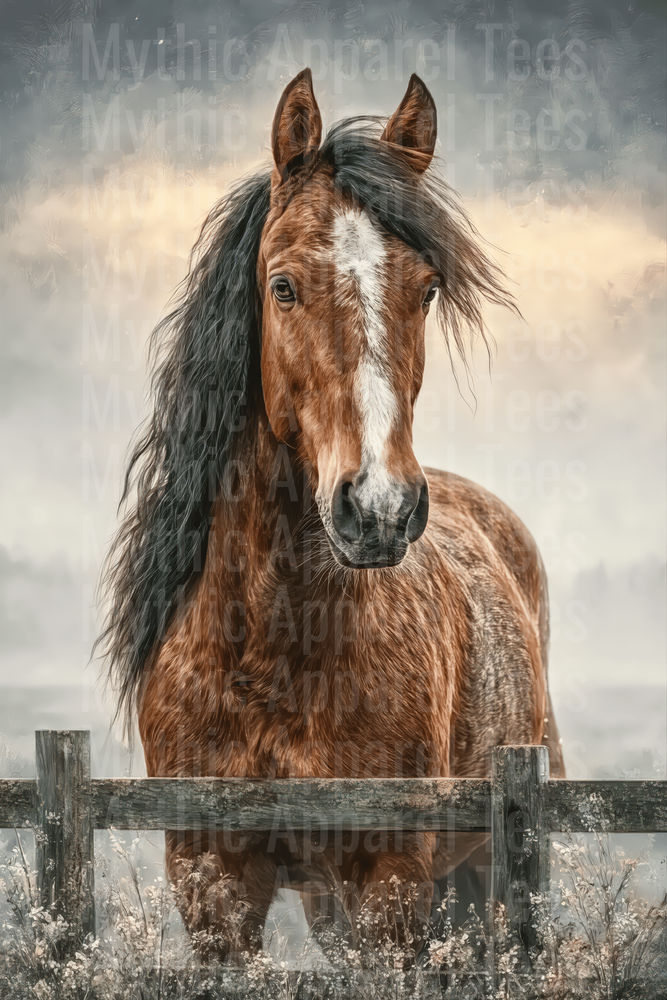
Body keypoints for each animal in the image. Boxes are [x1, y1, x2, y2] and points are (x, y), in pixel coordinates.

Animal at [99, 69, 564, 962]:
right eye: (282, 286)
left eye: (426, 287)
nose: (378, 508)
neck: (274, 649)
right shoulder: (212, 886)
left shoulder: (388, 884)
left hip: (495, 872)